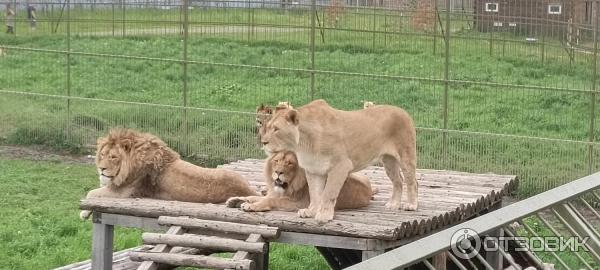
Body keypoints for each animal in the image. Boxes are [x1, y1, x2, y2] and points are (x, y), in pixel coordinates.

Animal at [80, 129, 258, 219]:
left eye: (113, 157)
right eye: (102, 155)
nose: (101, 169)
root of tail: (248, 188)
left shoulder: (125, 192)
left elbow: (91, 193)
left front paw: (84, 213)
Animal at [226, 151, 372, 212]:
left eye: (289, 163)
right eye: (276, 161)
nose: (278, 172)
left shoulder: (302, 203)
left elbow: (271, 200)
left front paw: (251, 206)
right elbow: (254, 196)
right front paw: (235, 200)